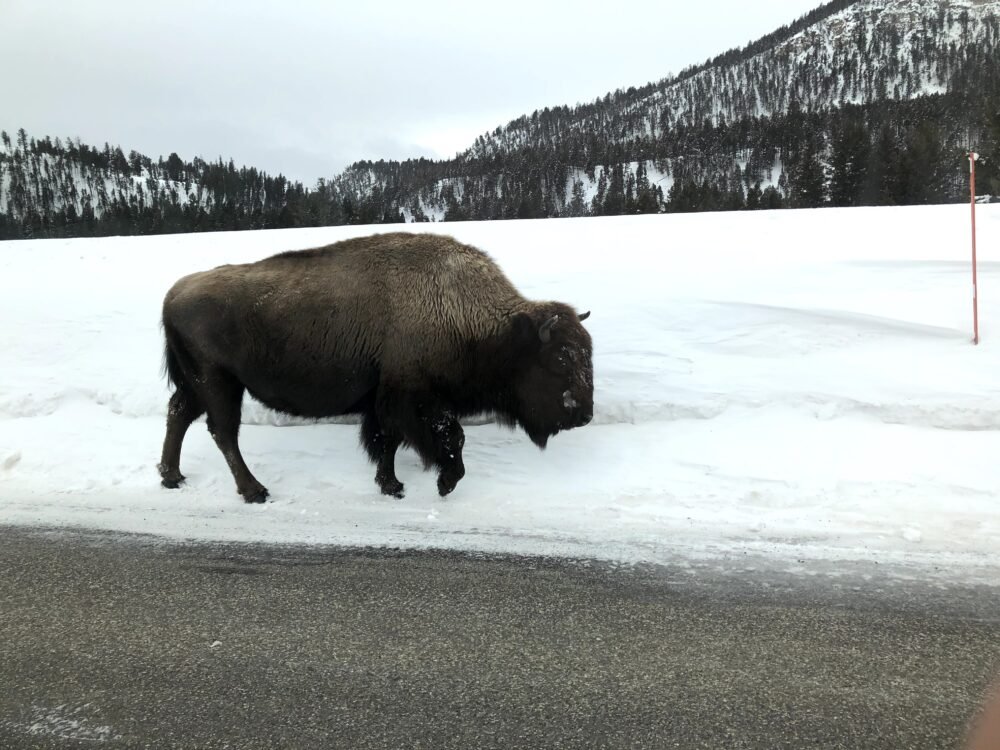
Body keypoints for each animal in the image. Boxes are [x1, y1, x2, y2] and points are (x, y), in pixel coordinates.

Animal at [156, 232, 592, 502]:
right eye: (558, 359)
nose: (584, 414)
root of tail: (174, 292)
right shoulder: (414, 397)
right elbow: (449, 436)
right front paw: (444, 483)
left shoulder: (385, 401)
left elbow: (387, 442)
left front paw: (392, 485)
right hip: (218, 381)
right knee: (223, 431)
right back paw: (254, 491)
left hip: (198, 383)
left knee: (180, 413)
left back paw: (171, 477)